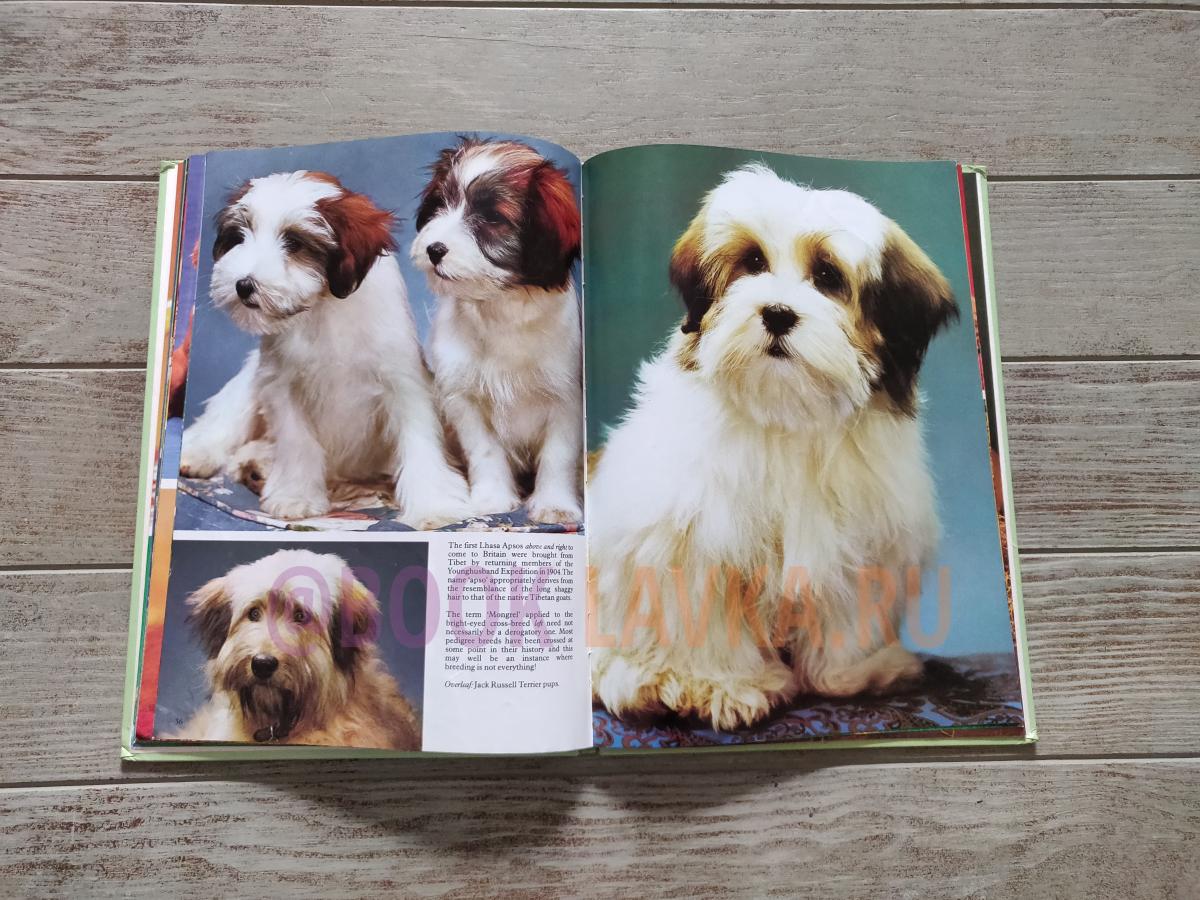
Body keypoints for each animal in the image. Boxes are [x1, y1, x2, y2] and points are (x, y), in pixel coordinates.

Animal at [179, 170, 470, 529]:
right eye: (240, 237)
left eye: (294, 243)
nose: (243, 285)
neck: (322, 308)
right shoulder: (282, 386)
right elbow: (297, 443)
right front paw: (296, 497)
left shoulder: (405, 385)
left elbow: (420, 442)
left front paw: (434, 505)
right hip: (249, 382)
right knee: (224, 421)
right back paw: (201, 454)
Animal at [410, 137, 583, 525]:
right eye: (441, 204)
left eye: (492, 217)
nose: (433, 249)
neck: (499, 310)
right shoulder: (465, 399)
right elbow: (485, 452)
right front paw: (491, 499)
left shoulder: (566, 400)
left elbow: (558, 455)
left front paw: (555, 505)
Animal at [589, 164, 959, 731]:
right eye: (753, 263)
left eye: (828, 276)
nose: (778, 313)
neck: (784, 414)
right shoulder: (695, 543)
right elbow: (702, 615)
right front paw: (716, 686)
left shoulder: (860, 542)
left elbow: (847, 607)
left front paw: (855, 671)